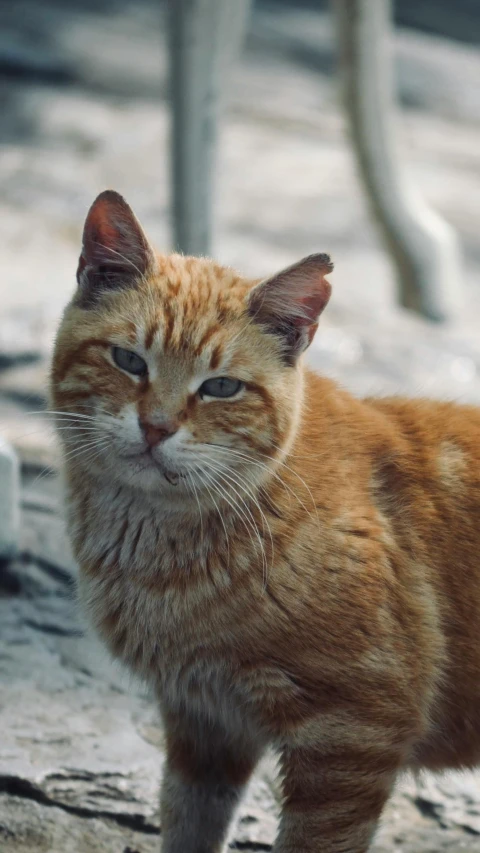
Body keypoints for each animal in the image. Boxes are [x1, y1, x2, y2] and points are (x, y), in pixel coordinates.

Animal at [49, 188, 480, 852]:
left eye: (222, 388)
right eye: (128, 360)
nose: (156, 427)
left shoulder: (351, 738)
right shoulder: (206, 726)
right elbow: (188, 824)